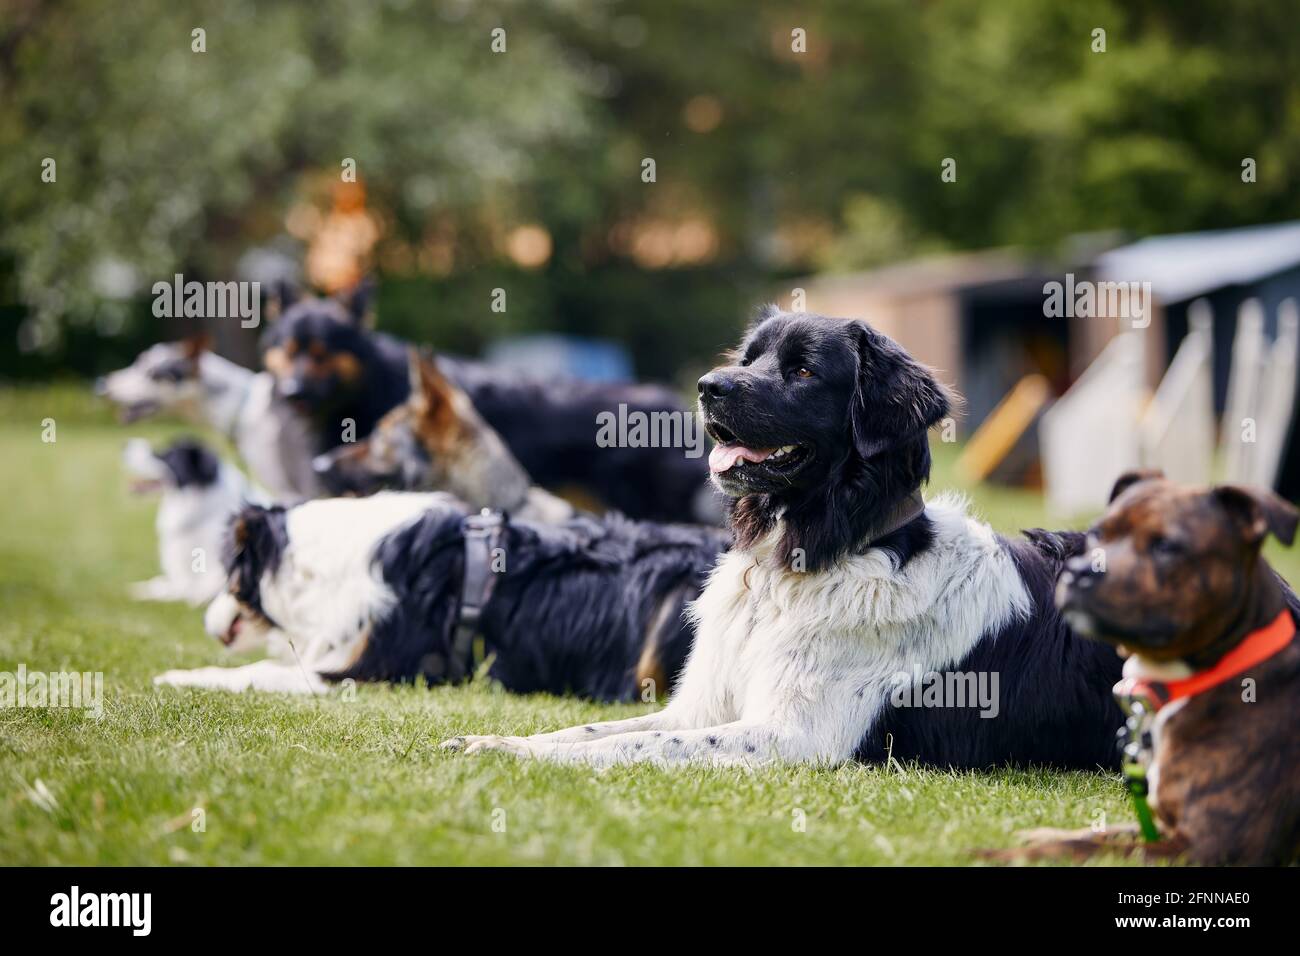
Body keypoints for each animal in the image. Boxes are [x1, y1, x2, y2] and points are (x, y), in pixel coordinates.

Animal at [441, 310, 1123, 775]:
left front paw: (518, 755)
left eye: (802, 371)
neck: (797, 563)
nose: (707, 386)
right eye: (747, 360)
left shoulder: (797, 736)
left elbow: (635, 743)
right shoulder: (699, 709)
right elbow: (593, 730)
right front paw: (497, 742)